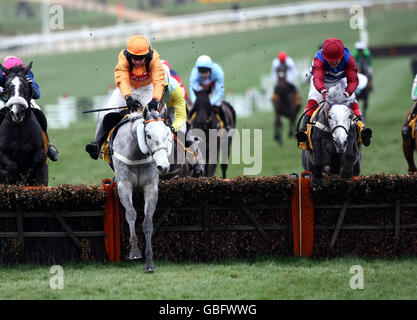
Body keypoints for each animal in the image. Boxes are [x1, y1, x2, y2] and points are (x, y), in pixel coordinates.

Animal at [110, 106, 171, 272]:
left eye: (167, 134)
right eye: (148, 135)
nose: (164, 166)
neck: (137, 154)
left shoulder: (151, 187)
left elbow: (148, 222)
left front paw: (149, 261)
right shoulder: (124, 185)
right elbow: (131, 214)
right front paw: (135, 251)